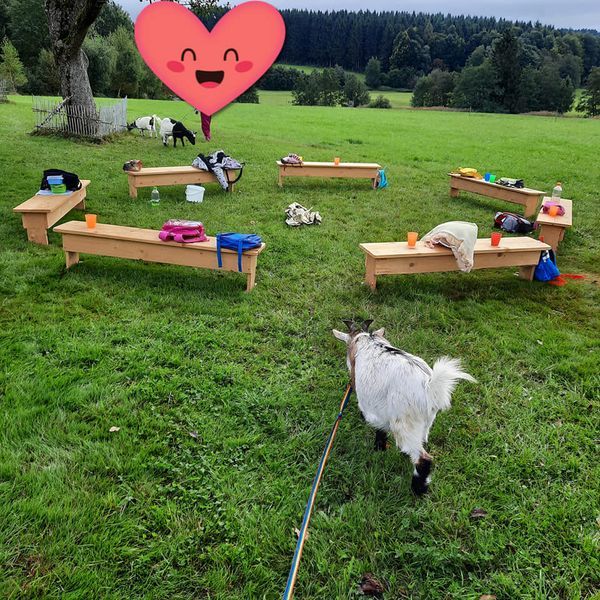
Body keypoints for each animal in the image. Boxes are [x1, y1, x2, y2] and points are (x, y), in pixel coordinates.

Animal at [333, 319, 475, 495]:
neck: (366, 340)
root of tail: (428, 387)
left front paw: (378, 447)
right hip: (425, 422)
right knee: (421, 442)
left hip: (404, 422)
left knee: (423, 458)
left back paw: (418, 490)